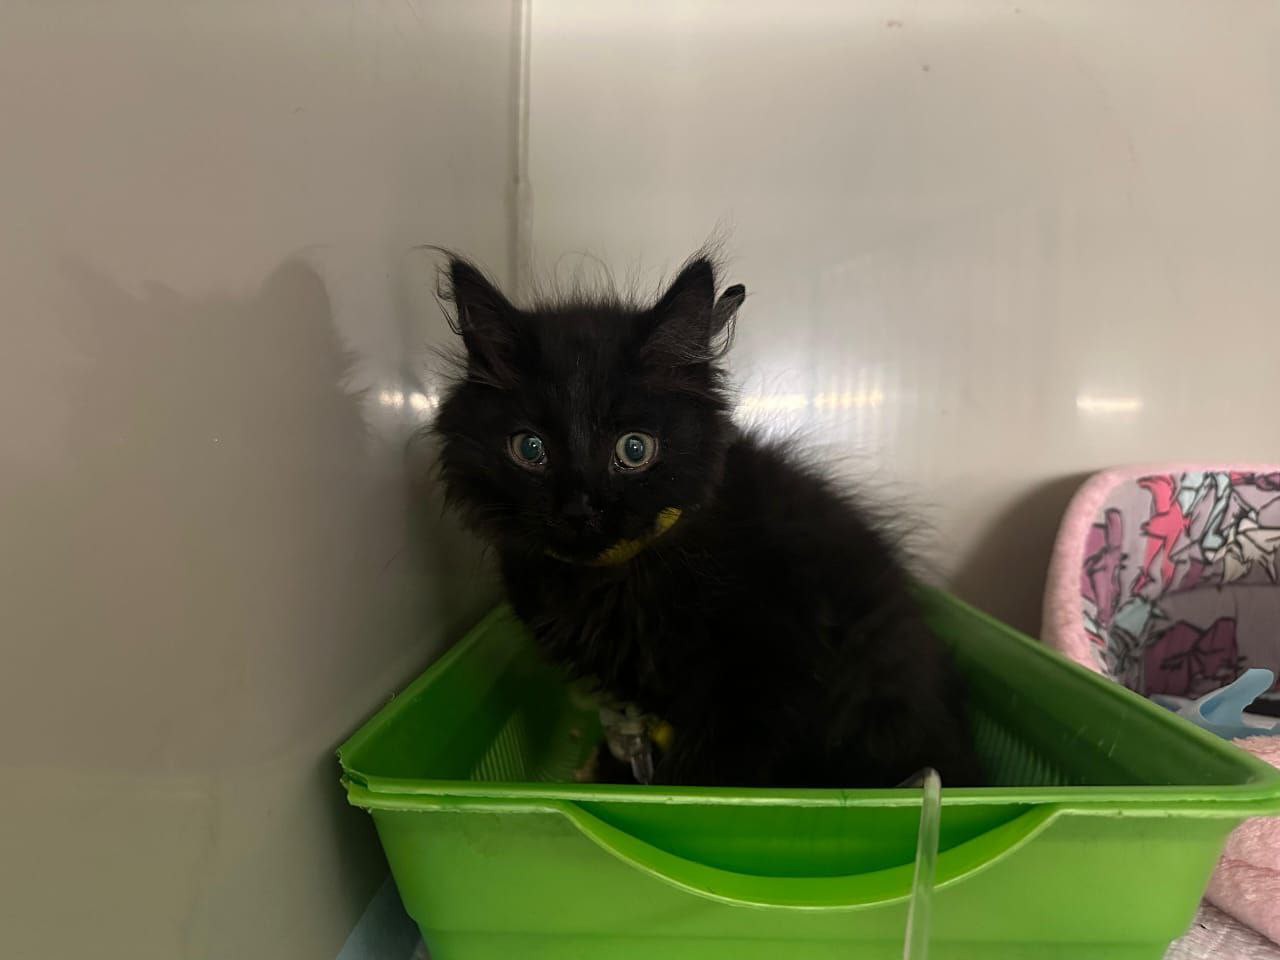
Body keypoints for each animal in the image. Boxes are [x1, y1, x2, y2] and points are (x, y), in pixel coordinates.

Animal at [433, 251, 982, 788]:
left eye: (635, 449)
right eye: (530, 449)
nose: (580, 508)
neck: (611, 578)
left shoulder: (763, 673)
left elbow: (710, 770)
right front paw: (617, 770)